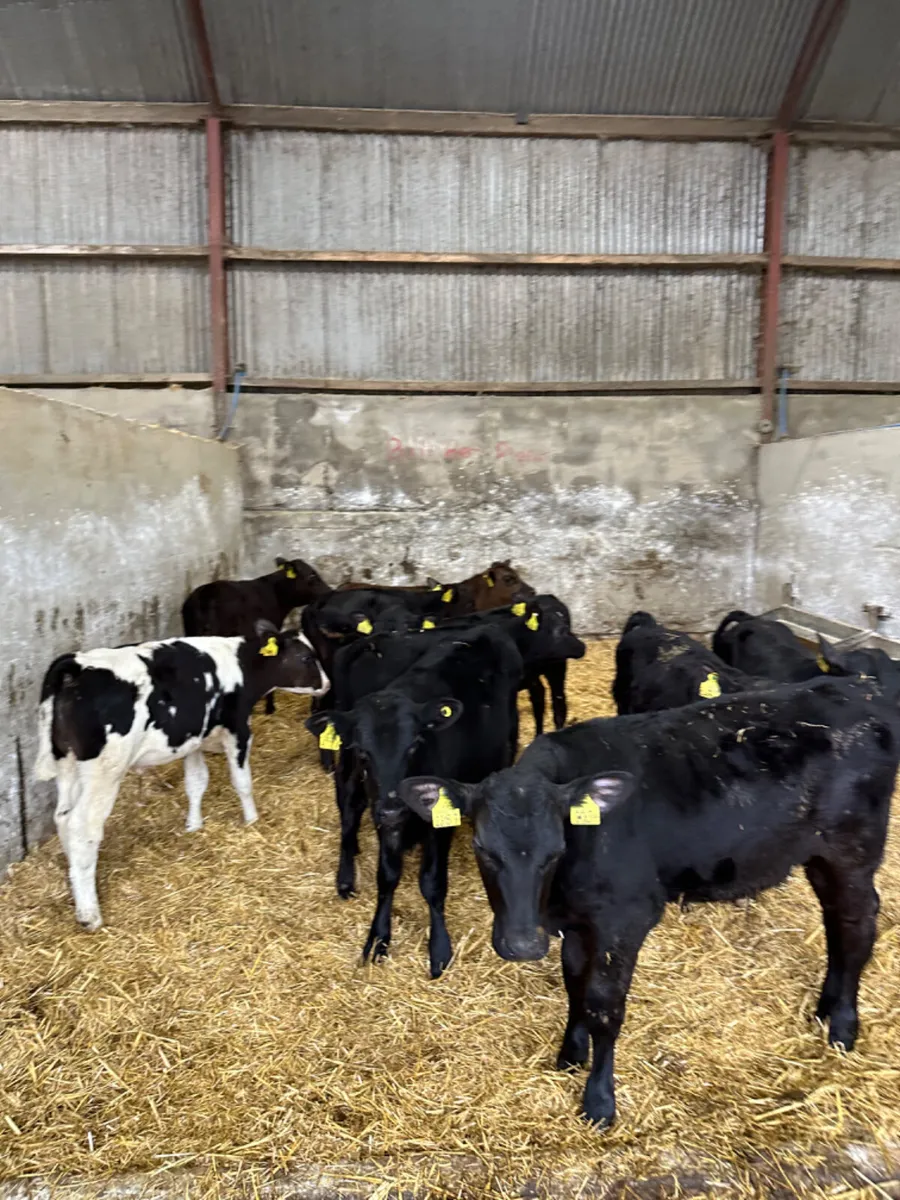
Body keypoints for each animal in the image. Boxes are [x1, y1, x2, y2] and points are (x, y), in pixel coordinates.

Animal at [35, 623, 329, 932]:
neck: (241, 665)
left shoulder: (193, 740)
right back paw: (89, 913)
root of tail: (75, 664)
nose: (327, 683)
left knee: (63, 818)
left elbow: (196, 783)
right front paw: (252, 821)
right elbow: (242, 782)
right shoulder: (238, 729)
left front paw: (194, 826)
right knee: (82, 827)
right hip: (104, 771)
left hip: (67, 765)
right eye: (307, 658)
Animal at [306, 625, 523, 978]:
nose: (394, 808)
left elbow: (432, 883)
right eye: (364, 751)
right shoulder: (384, 817)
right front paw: (378, 936)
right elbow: (387, 876)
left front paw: (439, 948)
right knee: (349, 806)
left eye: (414, 745)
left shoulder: (439, 820)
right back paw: (346, 875)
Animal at [399, 677, 900, 1127]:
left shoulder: (625, 919)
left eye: (556, 849)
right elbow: (574, 984)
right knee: (836, 922)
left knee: (857, 924)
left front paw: (599, 1101)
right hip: (820, 856)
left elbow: (604, 1006)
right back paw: (825, 1008)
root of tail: (860, 689)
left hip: (853, 851)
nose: (523, 945)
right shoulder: (578, 920)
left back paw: (842, 1027)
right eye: (482, 847)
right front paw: (571, 1053)